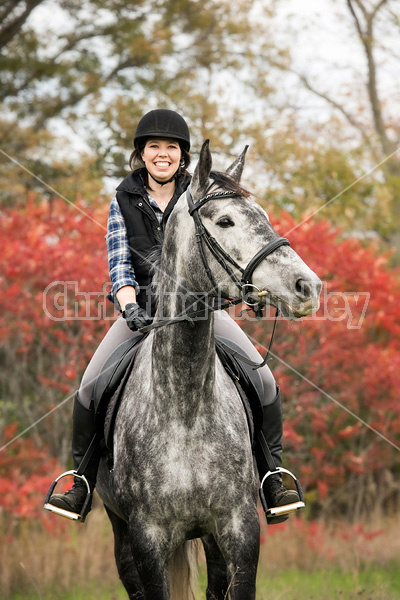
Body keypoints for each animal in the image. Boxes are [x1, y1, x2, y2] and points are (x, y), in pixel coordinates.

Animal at [96, 142, 322, 600]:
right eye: (225, 220)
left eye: (264, 216)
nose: (307, 287)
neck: (184, 407)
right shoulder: (147, 538)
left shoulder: (238, 529)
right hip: (121, 535)